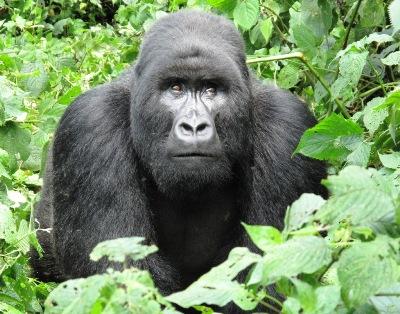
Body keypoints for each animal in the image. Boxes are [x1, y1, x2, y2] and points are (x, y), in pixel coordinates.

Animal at [30, 9, 324, 310]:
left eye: (210, 89)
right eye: (176, 87)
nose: (194, 126)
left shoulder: (288, 127)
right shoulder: (91, 124)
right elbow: (121, 277)